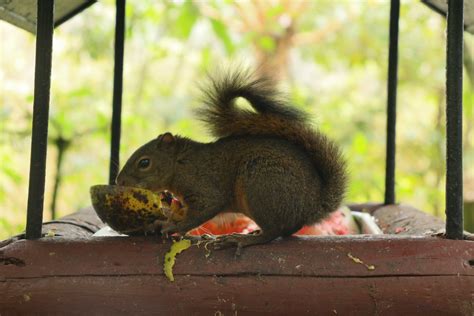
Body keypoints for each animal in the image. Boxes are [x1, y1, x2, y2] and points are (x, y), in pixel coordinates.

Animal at [117, 70, 348, 251]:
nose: (119, 181)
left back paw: (241, 240)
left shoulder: (205, 187)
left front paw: (175, 227)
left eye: (144, 163)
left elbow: (203, 210)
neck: (181, 164)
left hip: (261, 185)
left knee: (274, 231)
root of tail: (313, 204)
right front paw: (159, 223)